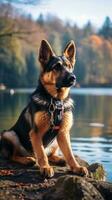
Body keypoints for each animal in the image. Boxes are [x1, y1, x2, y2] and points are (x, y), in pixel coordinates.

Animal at [0, 39, 88, 177]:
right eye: (56, 67)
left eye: (69, 66)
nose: (73, 77)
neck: (56, 101)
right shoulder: (35, 133)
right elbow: (41, 153)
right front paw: (46, 167)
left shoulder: (63, 132)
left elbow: (70, 154)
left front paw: (76, 167)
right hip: (9, 134)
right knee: (12, 156)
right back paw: (27, 160)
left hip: (56, 140)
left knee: (50, 154)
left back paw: (58, 159)